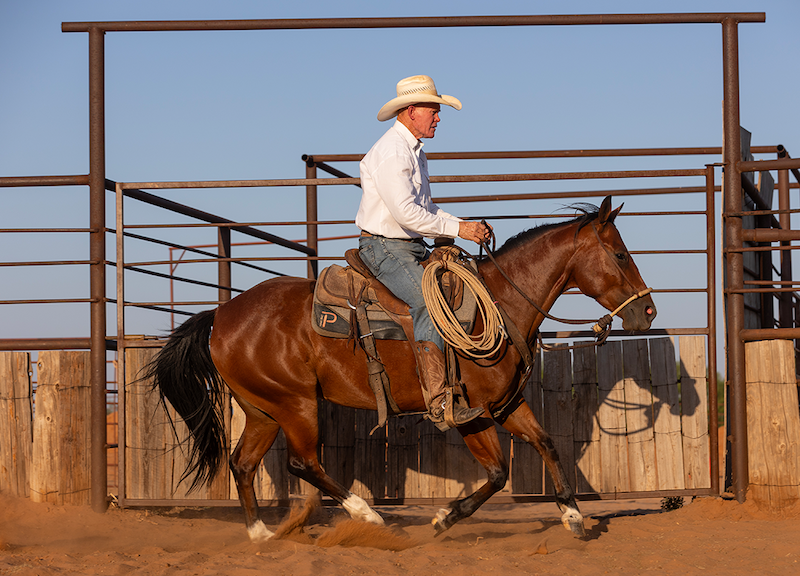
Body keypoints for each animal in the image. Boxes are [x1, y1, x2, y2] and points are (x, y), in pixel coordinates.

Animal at [148, 196, 656, 542]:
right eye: (620, 256)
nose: (648, 312)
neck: (498, 304)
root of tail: (221, 316)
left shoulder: (508, 404)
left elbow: (547, 443)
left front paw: (573, 516)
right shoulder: (471, 414)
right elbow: (497, 473)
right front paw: (444, 517)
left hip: (262, 409)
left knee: (244, 463)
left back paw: (261, 536)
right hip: (294, 404)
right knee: (302, 461)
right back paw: (368, 515)